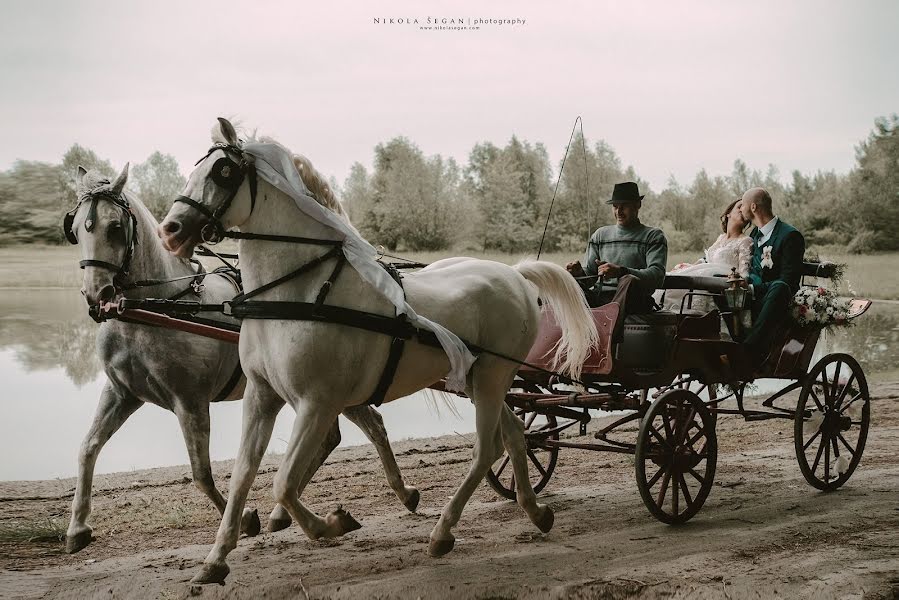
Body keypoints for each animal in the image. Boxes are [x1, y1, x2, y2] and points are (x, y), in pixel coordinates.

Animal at [63, 164, 422, 552]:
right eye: (75, 228)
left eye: (115, 227)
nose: (96, 293)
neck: (159, 308)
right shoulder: (122, 393)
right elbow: (87, 448)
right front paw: (77, 527)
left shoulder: (190, 401)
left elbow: (201, 474)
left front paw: (246, 518)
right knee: (335, 436)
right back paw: (287, 513)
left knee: (373, 427)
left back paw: (402, 493)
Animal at [159, 118, 600, 584]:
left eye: (223, 171)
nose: (170, 230)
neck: (297, 293)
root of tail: (514, 274)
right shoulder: (262, 397)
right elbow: (243, 476)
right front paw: (215, 559)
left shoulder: (317, 404)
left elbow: (283, 483)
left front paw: (332, 523)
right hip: (482, 382)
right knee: (516, 436)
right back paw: (535, 511)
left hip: (493, 378)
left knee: (486, 449)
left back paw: (443, 532)